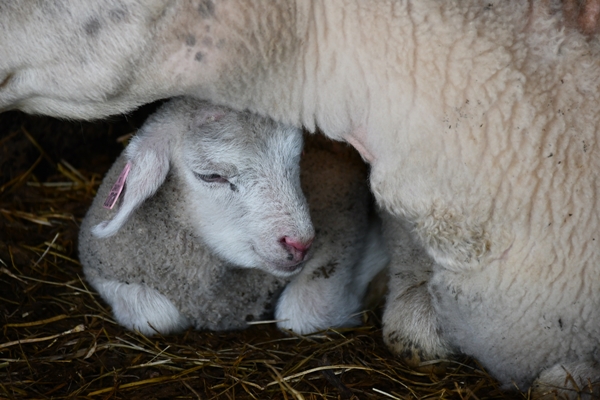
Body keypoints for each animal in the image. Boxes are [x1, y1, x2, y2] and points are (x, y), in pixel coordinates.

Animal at [78, 98, 390, 336]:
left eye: (298, 158)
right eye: (211, 175)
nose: (300, 243)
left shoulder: (343, 230)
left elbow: (303, 313)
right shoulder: (100, 268)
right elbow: (155, 316)